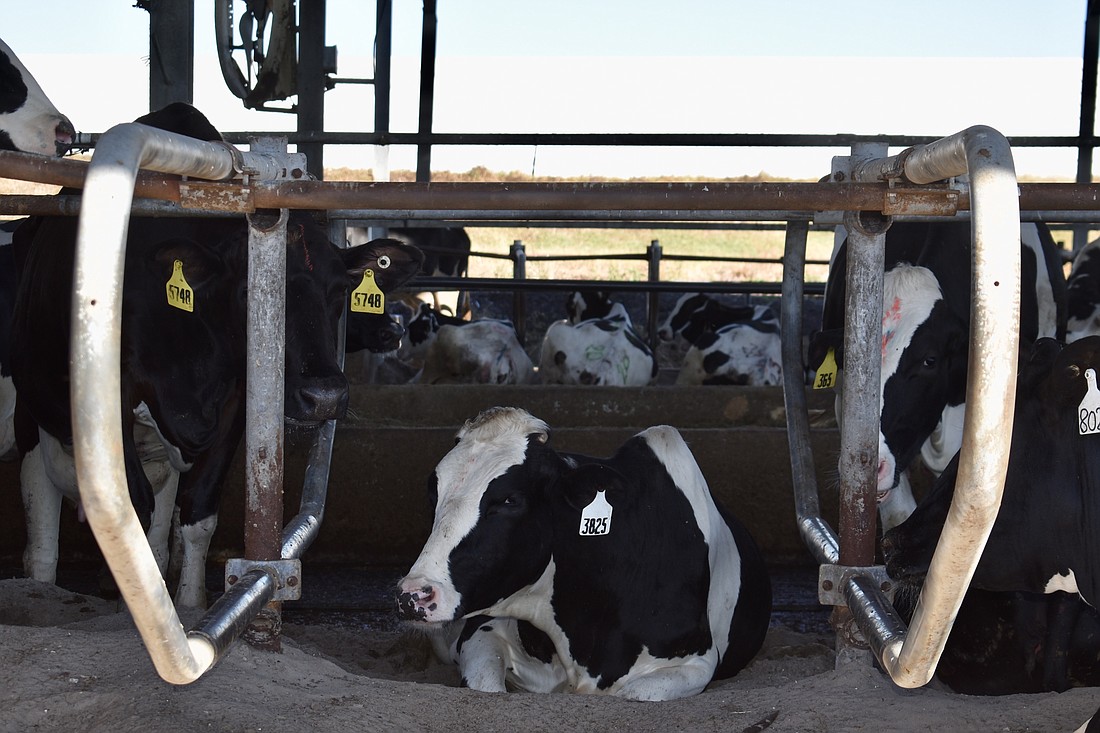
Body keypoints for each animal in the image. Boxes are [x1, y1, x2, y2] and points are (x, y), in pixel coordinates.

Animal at [12, 104, 424, 603]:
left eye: (341, 290)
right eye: (250, 292)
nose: (325, 396)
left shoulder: (236, 402)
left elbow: (198, 513)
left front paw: (191, 603)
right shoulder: (116, 401)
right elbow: (136, 507)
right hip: (32, 409)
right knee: (41, 528)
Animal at [398, 405, 774, 695]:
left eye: (509, 500)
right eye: (433, 495)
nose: (413, 594)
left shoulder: (695, 661)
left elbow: (636, 693)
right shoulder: (483, 630)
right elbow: (485, 685)